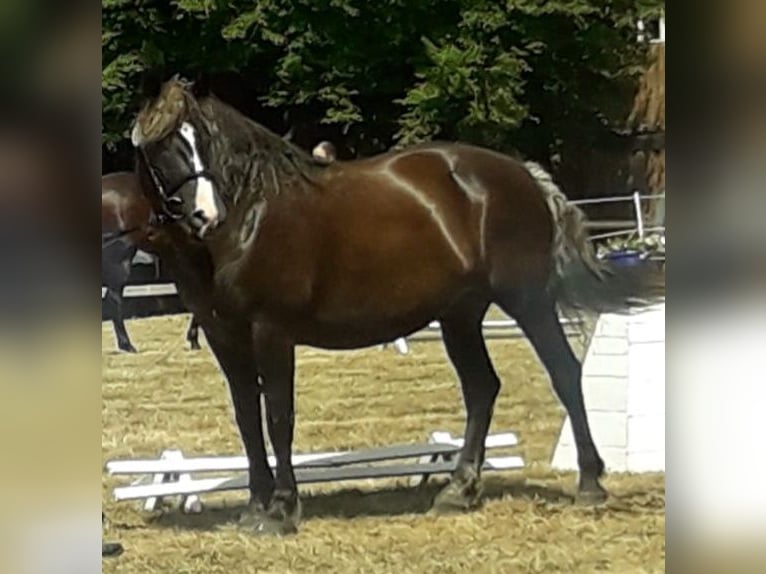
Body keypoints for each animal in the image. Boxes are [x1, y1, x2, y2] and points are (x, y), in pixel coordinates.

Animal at [129, 79, 664, 536]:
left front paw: (281, 510)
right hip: (459, 315)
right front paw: (256, 506)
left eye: (202, 139)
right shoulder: (226, 335)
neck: (249, 216)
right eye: (164, 146)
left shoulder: (271, 331)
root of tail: (523, 175)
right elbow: (247, 419)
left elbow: (278, 416)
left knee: (564, 372)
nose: (205, 215)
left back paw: (590, 483)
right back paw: (458, 490)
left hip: (527, 301)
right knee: (482, 389)